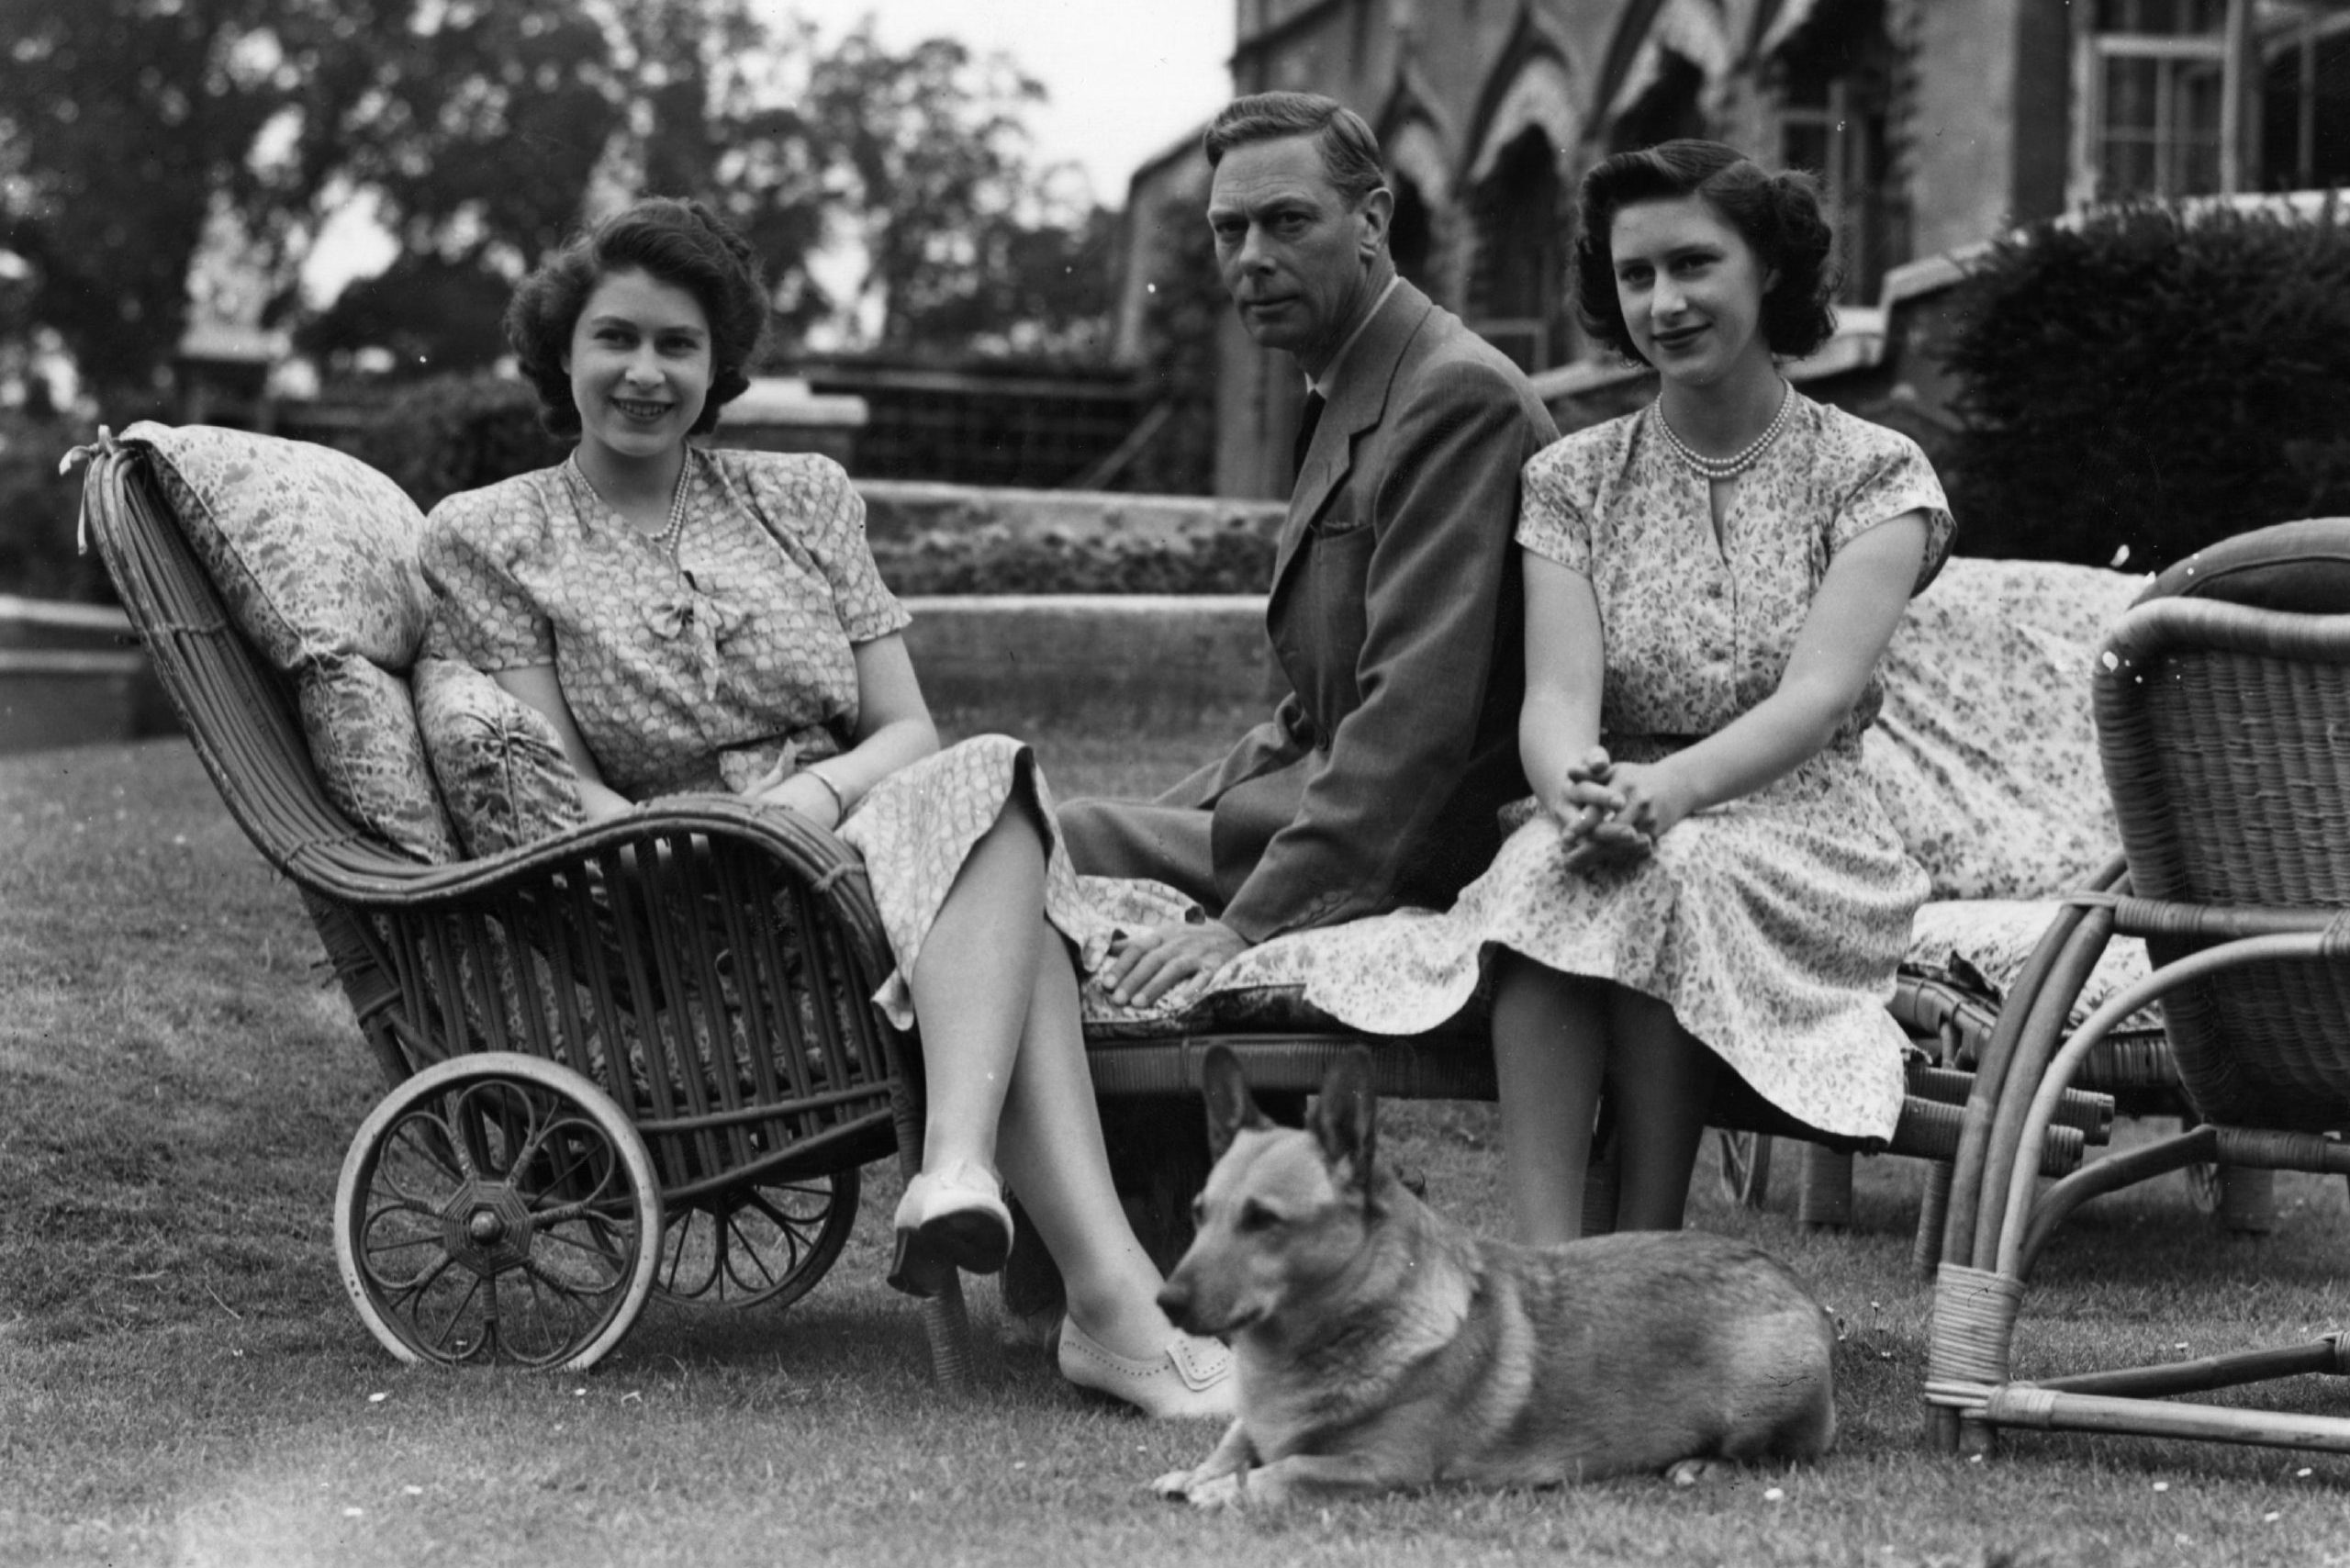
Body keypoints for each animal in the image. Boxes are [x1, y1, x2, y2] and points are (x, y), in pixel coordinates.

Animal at [1151, 1043, 1832, 1504]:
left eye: (1263, 1220)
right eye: (1199, 1213)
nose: (1166, 1303)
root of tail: (1800, 1290)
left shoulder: (1382, 1466)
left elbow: (1289, 1470)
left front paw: (1226, 1490)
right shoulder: (1254, 1425)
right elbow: (1233, 1443)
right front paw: (1200, 1474)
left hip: (1758, 1403)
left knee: (1774, 1456)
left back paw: (1703, 1465)